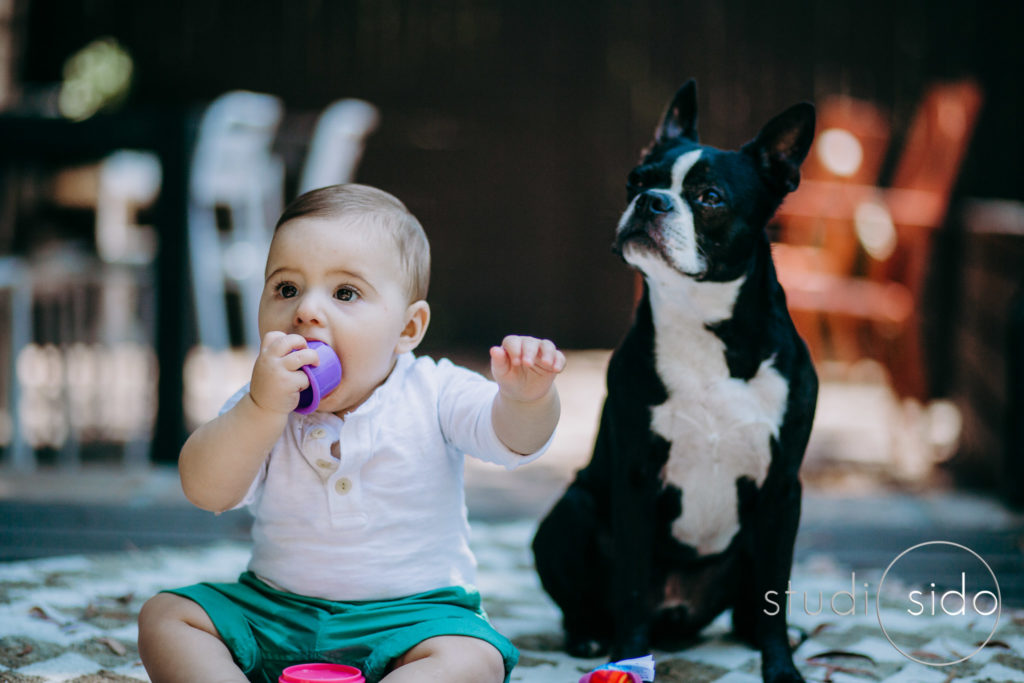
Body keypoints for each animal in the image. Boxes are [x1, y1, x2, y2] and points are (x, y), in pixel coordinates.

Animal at [532, 81, 819, 683]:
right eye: (636, 180)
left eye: (710, 197)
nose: (651, 201)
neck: (702, 320)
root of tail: (681, 616)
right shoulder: (637, 479)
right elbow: (632, 587)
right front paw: (627, 656)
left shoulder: (783, 489)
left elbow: (775, 593)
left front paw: (780, 667)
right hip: (572, 509)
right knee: (589, 597)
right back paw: (587, 636)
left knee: (752, 604)